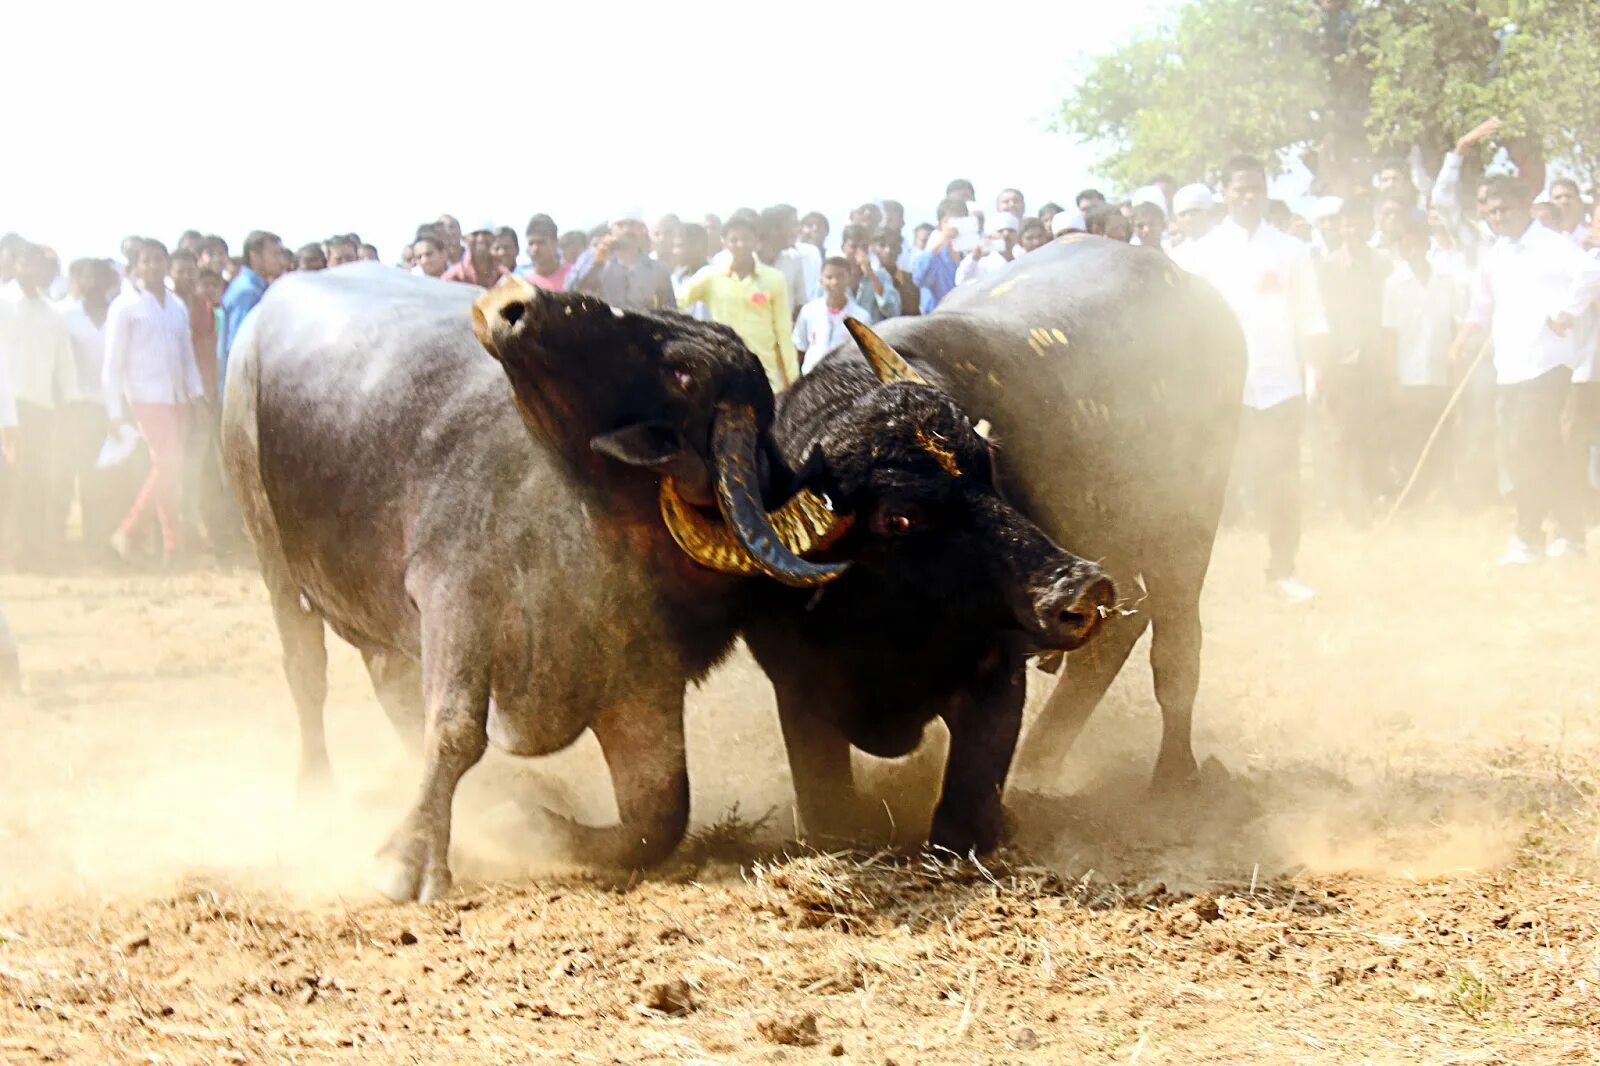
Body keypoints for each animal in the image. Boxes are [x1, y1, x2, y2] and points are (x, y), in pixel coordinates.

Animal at [761, 236, 1248, 845]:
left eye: (988, 465)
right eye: (900, 517)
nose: (1077, 587)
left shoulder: (997, 669)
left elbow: (961, 818)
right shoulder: (797, 689)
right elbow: (826, 813)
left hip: (1185, 531)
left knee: (1175, 650)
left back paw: (1174, 776)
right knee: (1120, 629)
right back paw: (1042, 761)